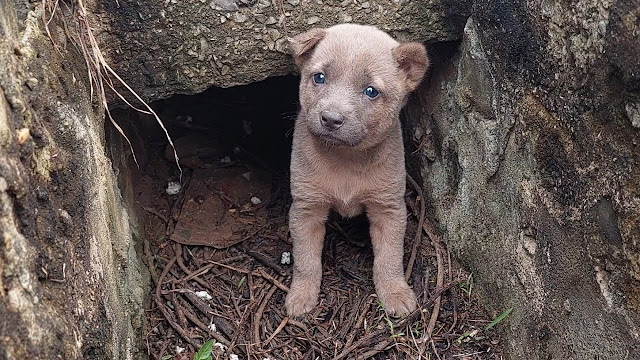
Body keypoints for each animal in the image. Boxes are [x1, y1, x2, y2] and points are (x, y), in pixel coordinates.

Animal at [286, 23, 430, 316]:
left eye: (371, 91)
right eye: (319, 77)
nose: (330, 119)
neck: (346, 159)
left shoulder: (389, 208)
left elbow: (389, 257)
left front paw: (395, 293)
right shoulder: (306, 208)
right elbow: (306, 260)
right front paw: (301, 296)